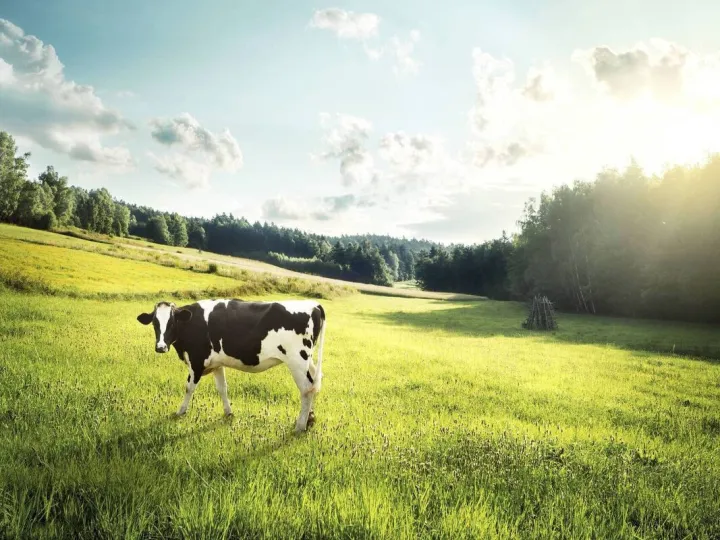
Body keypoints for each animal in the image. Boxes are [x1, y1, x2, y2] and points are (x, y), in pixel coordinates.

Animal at [136, 298, 326, 433]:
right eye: (154, 323)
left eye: (172, 322)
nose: (160, 347)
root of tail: (313, 305)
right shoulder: (217, 363)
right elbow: (222, 388)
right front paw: (228, 413)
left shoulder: (197, 361)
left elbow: (189, 387)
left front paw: (180, 412)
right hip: (307, 362)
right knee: (315, 384)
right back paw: (310, 419)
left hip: (297, 360)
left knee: (306, 389)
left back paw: (300, 425)